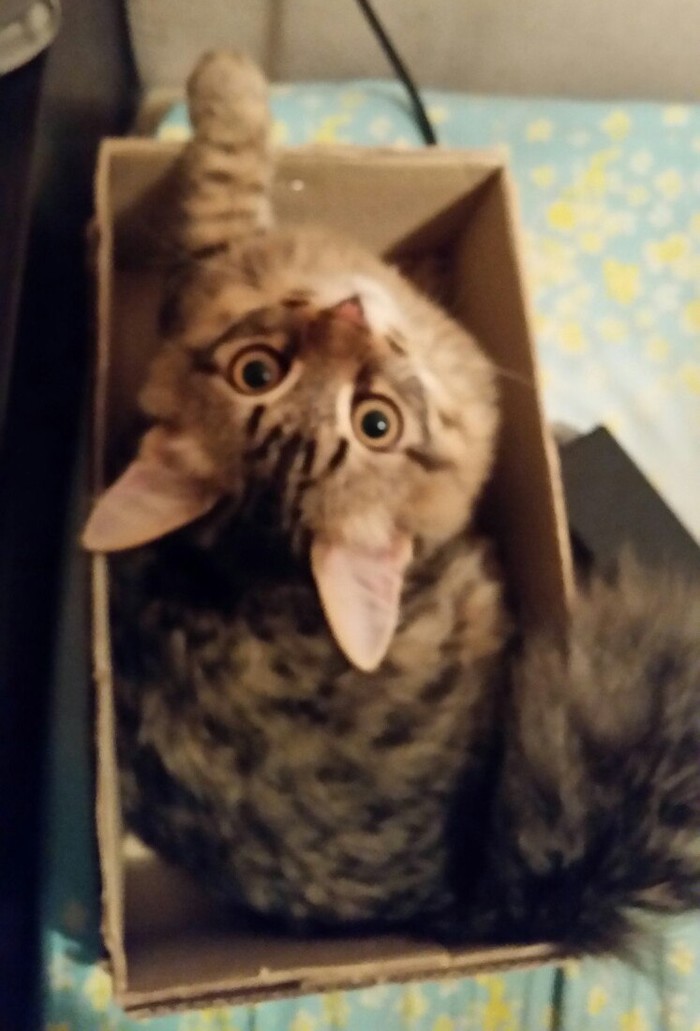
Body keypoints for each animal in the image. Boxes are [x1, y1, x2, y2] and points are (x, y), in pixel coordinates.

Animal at [82, 50, 700, 951]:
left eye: (376, 422)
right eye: (260, 371)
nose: (350, 314)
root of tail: (468, 906)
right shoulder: (209, 256)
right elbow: (227, 169)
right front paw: (226, 78)